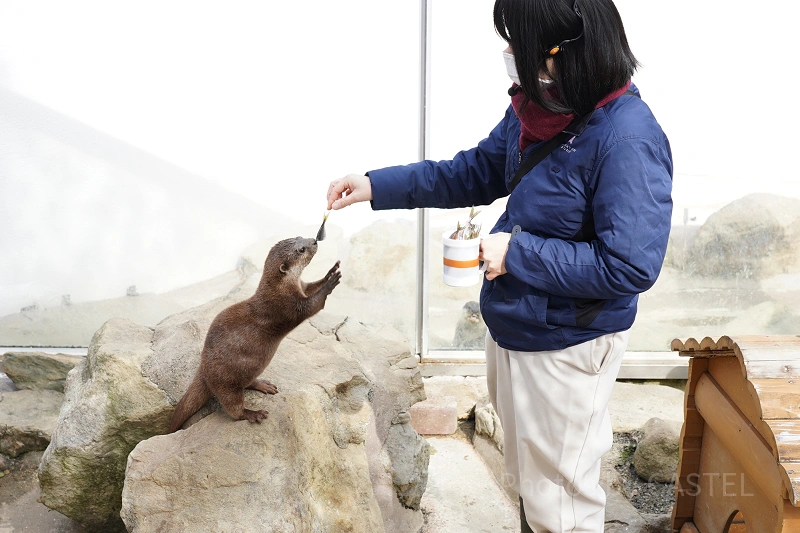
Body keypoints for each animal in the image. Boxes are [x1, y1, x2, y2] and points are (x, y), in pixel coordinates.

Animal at [169, 237, 340, 432]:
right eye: (301, 249)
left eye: (300, 237)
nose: (314, 240)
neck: (279, 288)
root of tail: (203, 369)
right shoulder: (286, 306)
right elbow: (313, 305)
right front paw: (330, 283)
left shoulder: (301, 286)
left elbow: (312, 286)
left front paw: (329, 273)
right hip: (225, 380)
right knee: (233, 407)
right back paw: (253, 413)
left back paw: (263, 385)